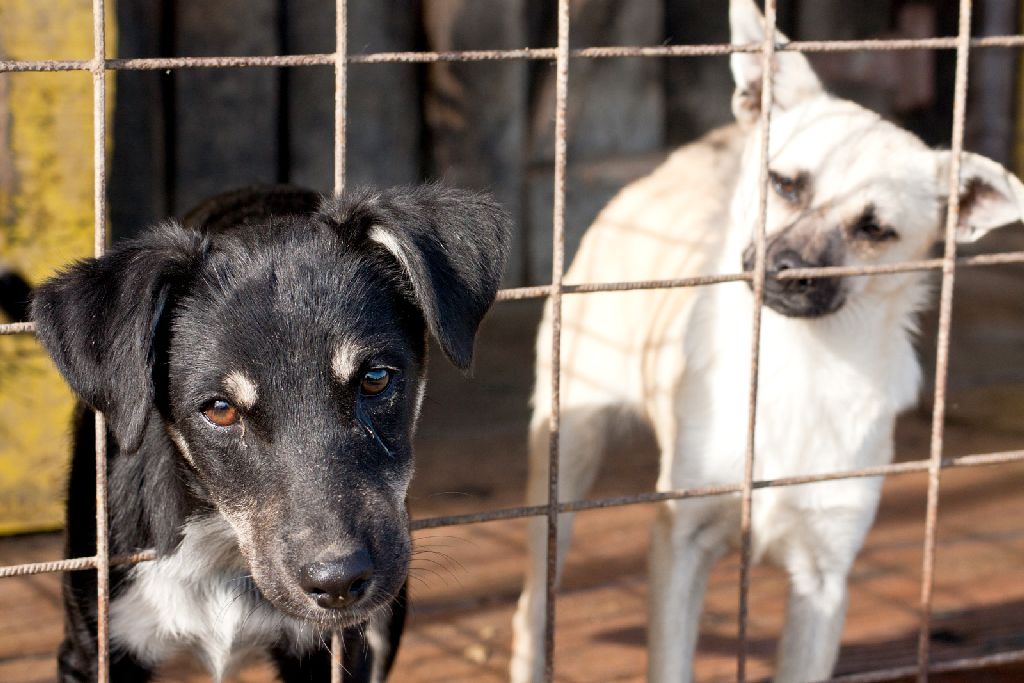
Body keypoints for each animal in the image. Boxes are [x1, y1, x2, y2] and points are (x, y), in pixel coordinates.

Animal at [29, 184, 509, 679]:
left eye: (375, 378)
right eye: (220, 410)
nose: (338, 582)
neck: (220, 543)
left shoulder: (337, 650)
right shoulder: (93, 649)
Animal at [509, 1, 1024, 683]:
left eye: (875, 229)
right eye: (784, 185)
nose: (791, 271)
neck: (799, 362)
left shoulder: (824, 578)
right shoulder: (681, 542)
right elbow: (670, 662)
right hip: (567, 460)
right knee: (533, 606)